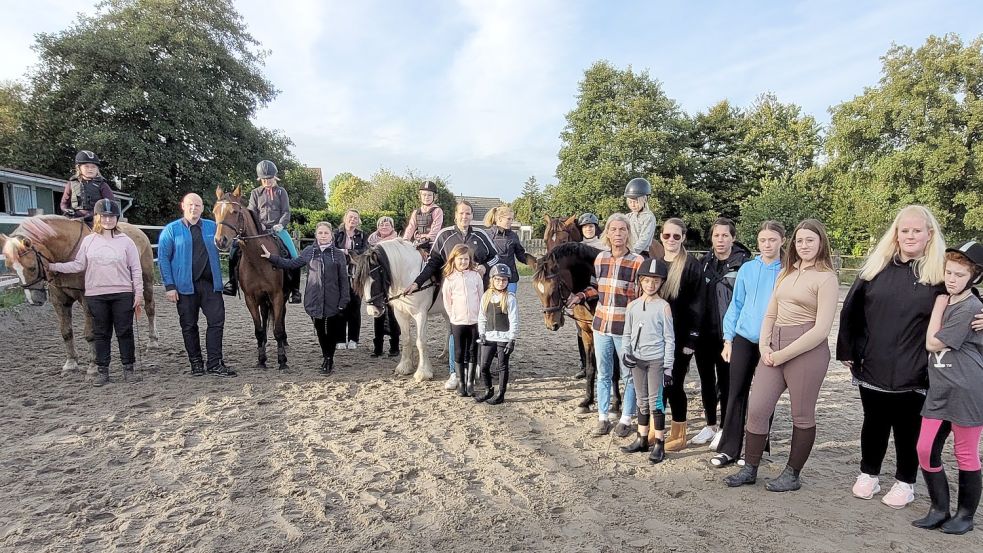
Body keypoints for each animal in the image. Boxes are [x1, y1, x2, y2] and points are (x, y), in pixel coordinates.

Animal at [0, 216, 160, 370]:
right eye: (11, 269)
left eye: (32, 267)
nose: (35, 300)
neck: (68, 255)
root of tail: (138, 231)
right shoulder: (59, 301)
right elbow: (66, 331)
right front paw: (71, 362)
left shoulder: (87, 299)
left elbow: (90, 333)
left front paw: (94, 365)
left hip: (146, 281)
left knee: (150, 308)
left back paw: (152, 341)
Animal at [214, 187, 288, 370]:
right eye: (215, 212)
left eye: (234, 212)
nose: (220, 241)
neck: (258, 258)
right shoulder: (251, 299)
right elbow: (259, 330)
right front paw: (261, 359)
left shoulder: (277, 295)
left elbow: (277, 328)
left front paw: (282, 360)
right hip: (263, 300)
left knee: (281, 318)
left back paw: (284, 342)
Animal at [354, 239, 446, 382]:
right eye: (361, 282)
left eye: (375, 278)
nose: (372, 311)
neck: (412, 277)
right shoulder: (400, 314)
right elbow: (406, 339)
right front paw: (405, 367)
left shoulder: (421, 314)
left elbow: (420, 341)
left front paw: (423, 372)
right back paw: (444, 355)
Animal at [532, 242, 624, 414]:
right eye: (537, 290)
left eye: (554, 287)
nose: (552, 324)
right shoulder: (588, 334)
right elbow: (590, 368)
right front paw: (587, 401)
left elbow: (614, 370)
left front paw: (616, 404)